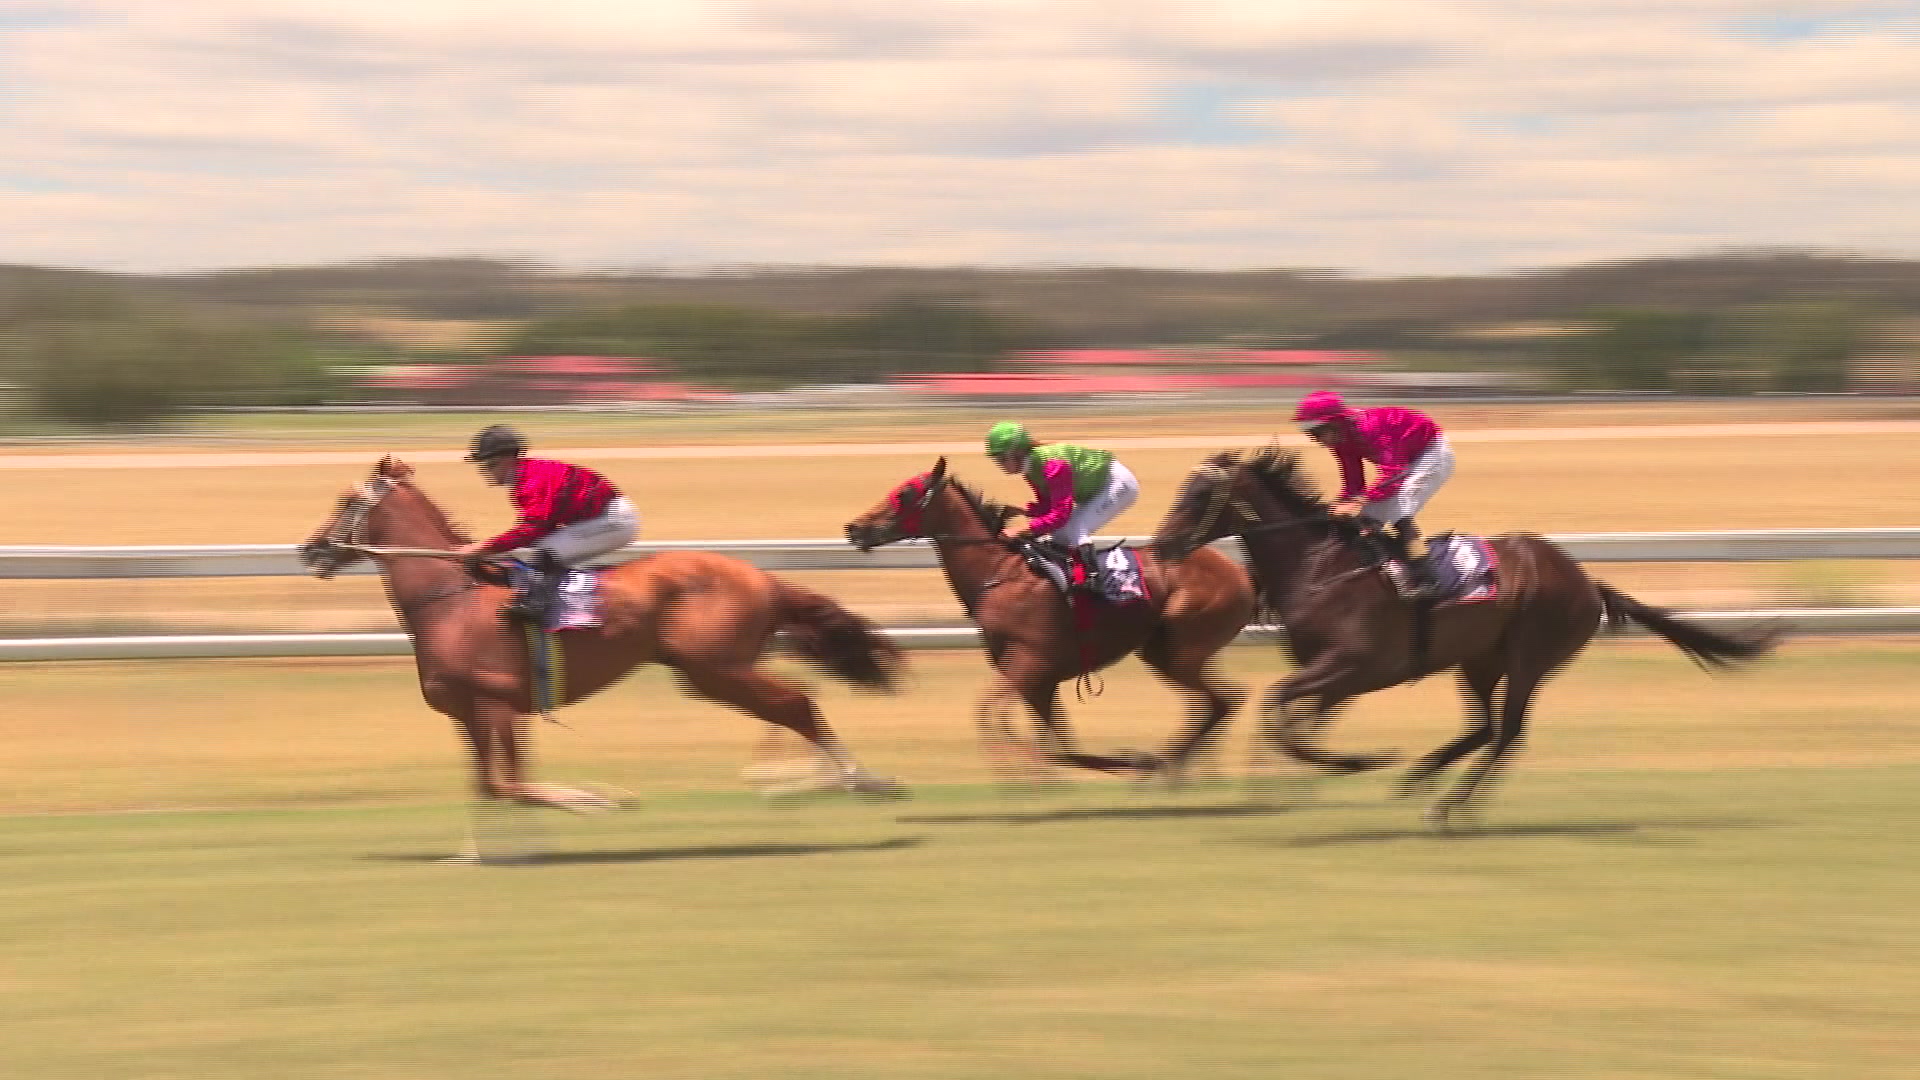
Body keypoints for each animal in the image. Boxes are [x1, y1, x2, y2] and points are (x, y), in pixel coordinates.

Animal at [301, 453, 913, 857]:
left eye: (345, 502)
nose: (310, 549)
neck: (452, 600)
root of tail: (761, 575)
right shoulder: (470, 715)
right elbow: (491, 787)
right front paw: (481, 850)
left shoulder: (498, 706)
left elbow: (513, 785)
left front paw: (599, 800)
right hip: (715, 669)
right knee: (791, 705)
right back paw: (816, 782)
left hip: (713, 667)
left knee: (796, 704)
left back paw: (855, 782)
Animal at [848, 457, 1251, 776]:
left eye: (904, 493)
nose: (854, 528)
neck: (998, 573)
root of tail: (1239, 572)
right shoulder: (1035, 677)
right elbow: (1054, 737)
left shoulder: (1030, 661)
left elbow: (992, 713)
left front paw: (1017, 767)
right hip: (1161, 650)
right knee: (1217, 703)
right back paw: (1164, 765)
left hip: (1184, 647)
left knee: (1223, 701)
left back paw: (1164, 765)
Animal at [1144, 445, 1774, 822]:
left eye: (1199, 496)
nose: (1162, 544)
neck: (1321, 566)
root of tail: (1587, 580)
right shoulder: (1330, 674)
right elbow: (1293, 715)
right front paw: (1291, 779)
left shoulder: (1354, 665)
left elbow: (1285, 709)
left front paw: (1349, 763)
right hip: (1477, 660)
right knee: (1485, 728)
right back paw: (1421, 778)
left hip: (1529, 656)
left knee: (1508, 732)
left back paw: (1450, 805)